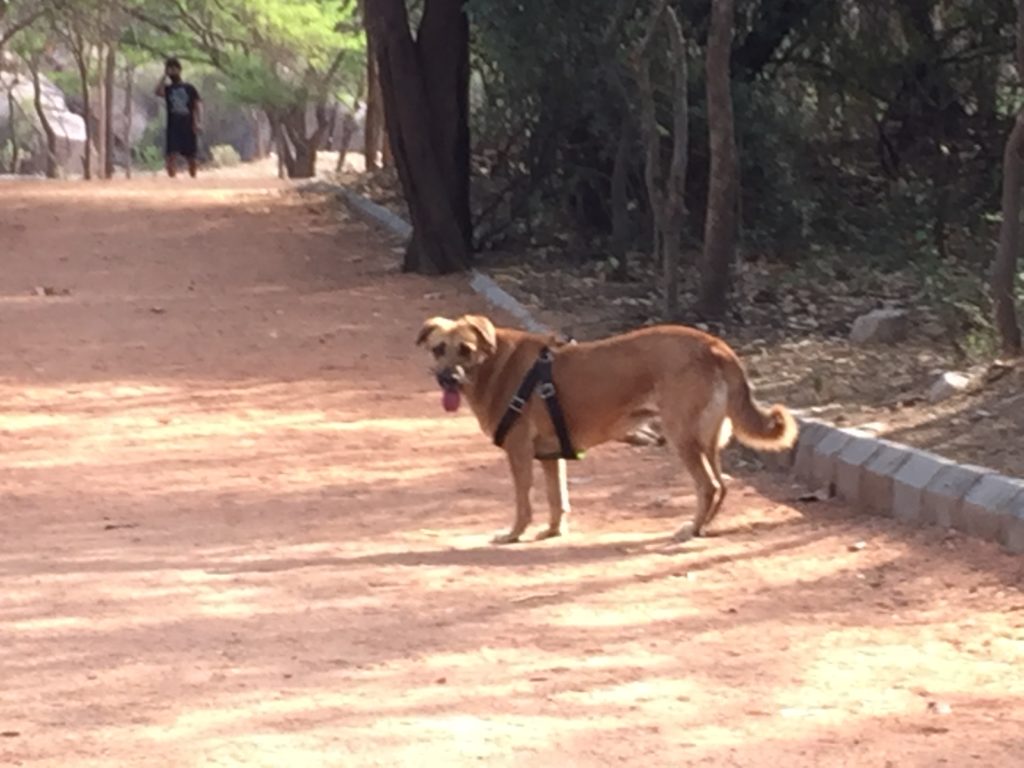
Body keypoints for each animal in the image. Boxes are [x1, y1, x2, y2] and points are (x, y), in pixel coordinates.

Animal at [415, 315, 798, 544]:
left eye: (466, 350)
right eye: (438, 349)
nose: (447, 378)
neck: (494, 363)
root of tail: (715, 345)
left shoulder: (519, 452)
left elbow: (523, 502)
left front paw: (513, 534)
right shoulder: (550, 456)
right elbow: (557, 499)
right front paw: (553, 531)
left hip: (682, 436)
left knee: (709, 486)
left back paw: (691, 529)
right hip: (708, 439)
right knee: (721, 486)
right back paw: (702, 528)